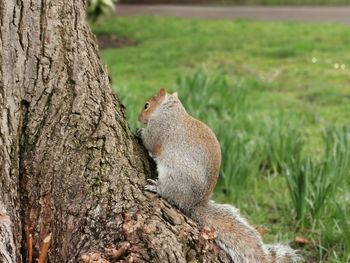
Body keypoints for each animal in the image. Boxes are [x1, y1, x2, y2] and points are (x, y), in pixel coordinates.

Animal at [137, 88, 300, 263]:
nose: (139, 118)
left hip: (176, 178)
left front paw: (139, 132)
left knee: (170, 194)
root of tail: (193, 203)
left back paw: (157, 187)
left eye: (146, 105)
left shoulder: (159, 128)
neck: (170, 109)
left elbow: (150, 141)